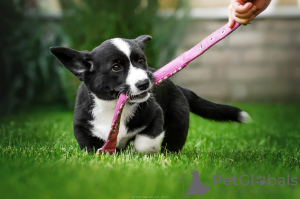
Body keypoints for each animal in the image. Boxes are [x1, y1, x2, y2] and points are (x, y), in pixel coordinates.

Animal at [49, 35, 251, 154]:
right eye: (116, 67)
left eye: (141, 60)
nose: (144, 83)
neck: (113, 107)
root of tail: (178, 87)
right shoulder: (82, 125)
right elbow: (90, 146)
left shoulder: (155, 115)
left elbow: (145, 141)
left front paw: (140, 156)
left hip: (178, 118)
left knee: (174, 141)